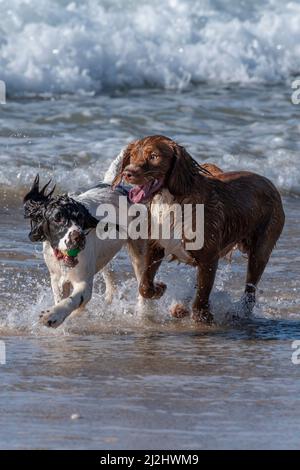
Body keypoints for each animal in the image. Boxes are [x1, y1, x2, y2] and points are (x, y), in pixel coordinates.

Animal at [23, 158, 145, 326]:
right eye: (57, 218)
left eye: (81, 217)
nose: (78, 237)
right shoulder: (56, 279)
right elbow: (62, 297)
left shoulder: (83, 283)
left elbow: (73, 300)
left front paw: (53, 315)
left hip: (138, 253)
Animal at [113, 134, 284, 322]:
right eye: (133, 155)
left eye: (153, 156)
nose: (127, 173)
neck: (171, 201)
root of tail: (269, 182)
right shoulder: (155, 246)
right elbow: (144, 284)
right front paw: (159, 289)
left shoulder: (209, 256)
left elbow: (203, 293)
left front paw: (202, 315)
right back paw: (181, 307)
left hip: (261, 250)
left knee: (250, 289)